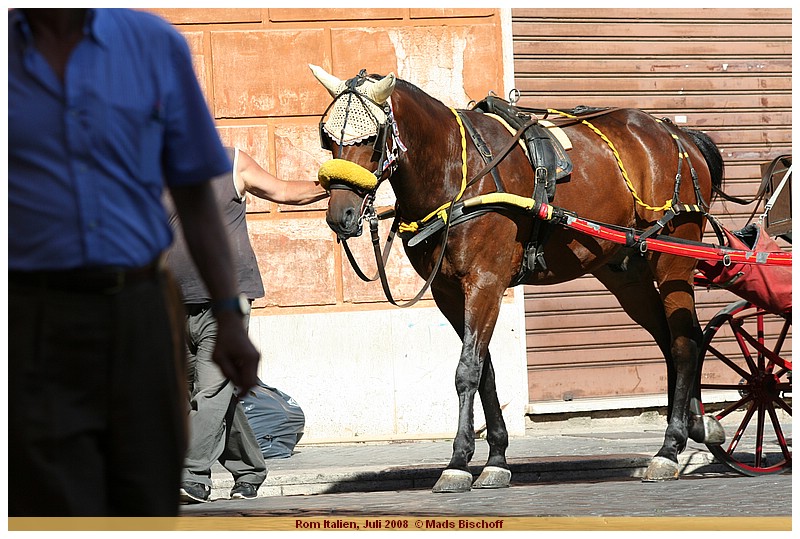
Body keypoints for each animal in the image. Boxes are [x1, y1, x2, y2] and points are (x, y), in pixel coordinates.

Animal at [310, 65, 728, 492]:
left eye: (374, 139)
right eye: (328, 138)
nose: (341, 215)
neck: (456, 171)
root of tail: (676, 134)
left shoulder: (485, 282)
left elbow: (467, 371)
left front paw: (458, 461)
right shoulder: (449, 293)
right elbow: (486, 372)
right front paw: (495, 458)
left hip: (673, 260)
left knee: (683, 344)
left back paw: (670, 447)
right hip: (628, 275)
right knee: (675, 338)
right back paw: (695, 425)